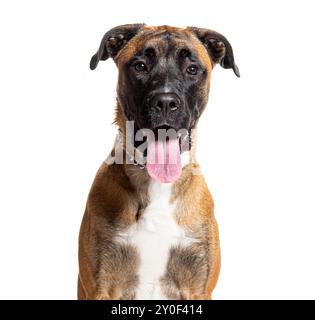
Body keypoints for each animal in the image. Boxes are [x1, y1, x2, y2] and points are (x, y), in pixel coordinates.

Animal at [78, 23, 239, 300]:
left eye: (192, 69)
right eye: (140, 66)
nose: (165, 102)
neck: (156, 185)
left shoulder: (197, 287)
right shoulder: (103, 286)